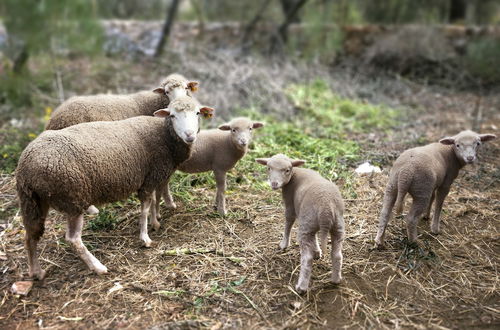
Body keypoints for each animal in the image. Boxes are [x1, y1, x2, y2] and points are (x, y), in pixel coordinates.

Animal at [256, 153, 346, 292]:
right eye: (268, 168)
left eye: (287, 170)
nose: (274, 183)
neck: (295, 173)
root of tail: (326, 208)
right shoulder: (308, 221)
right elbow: (315, 238)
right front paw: (317, 251)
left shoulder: (291, 204)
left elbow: (288, 221)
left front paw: (283, 244)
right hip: (336, 225)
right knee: (337, 255)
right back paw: (336, 280)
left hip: (307, 225)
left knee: (307, 258)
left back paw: (301, 287)